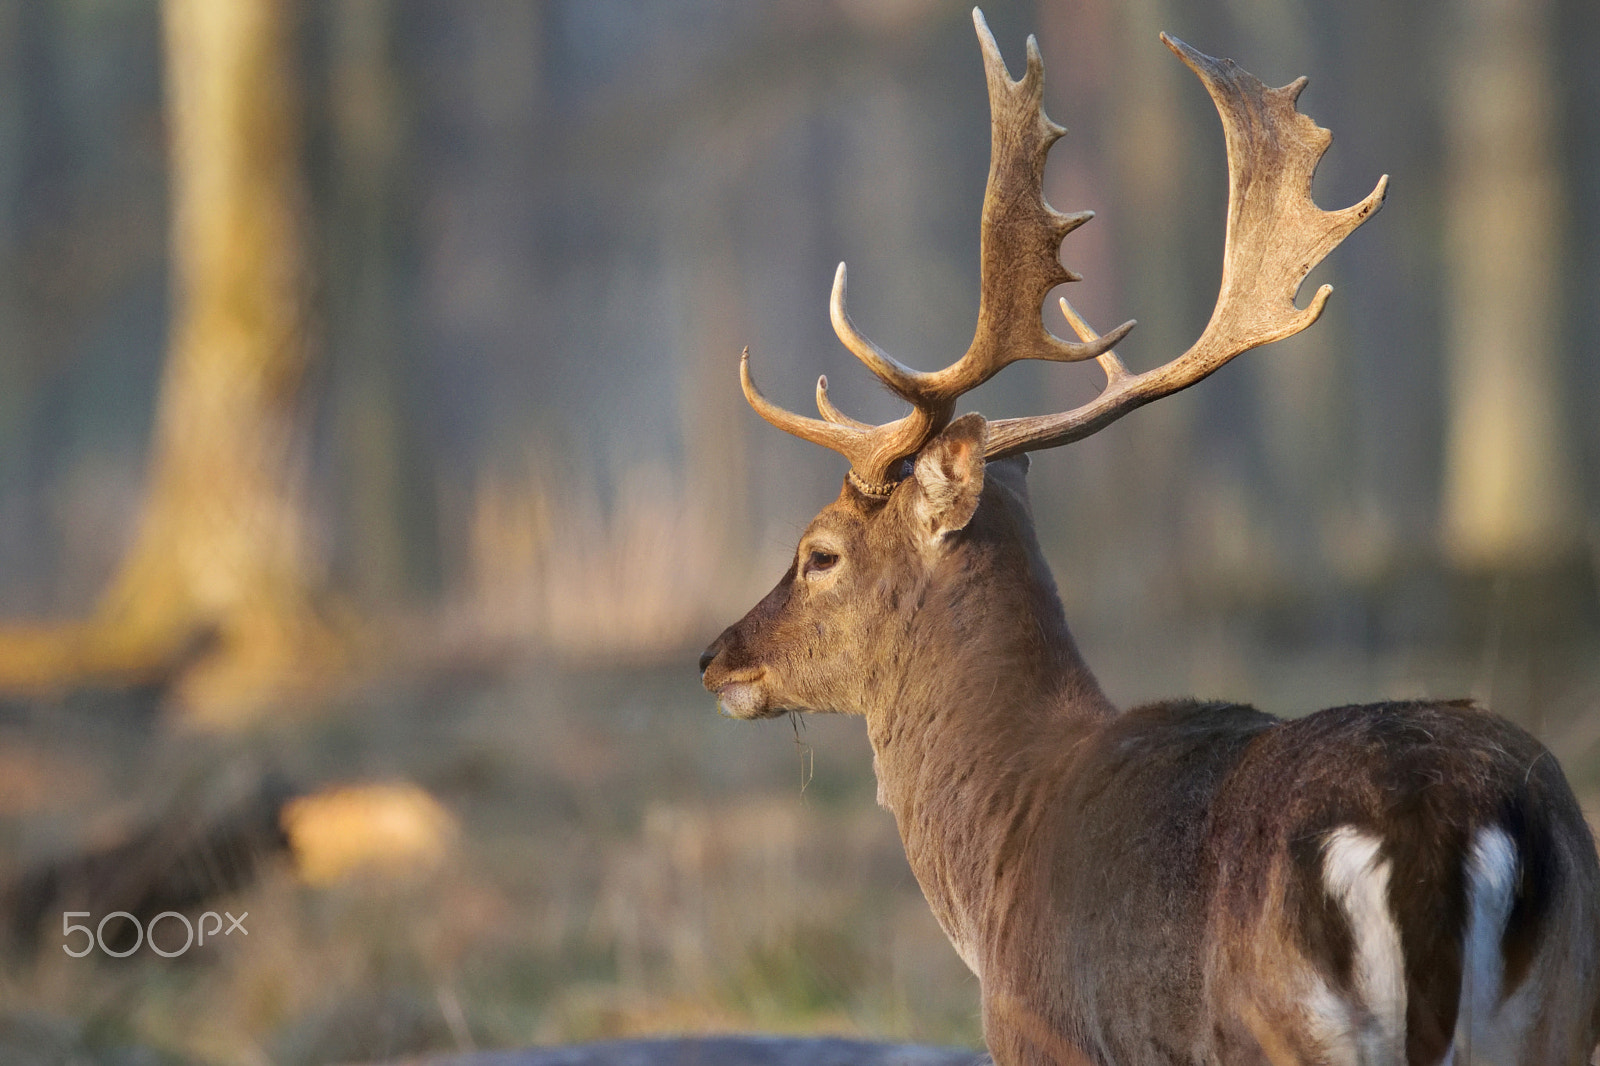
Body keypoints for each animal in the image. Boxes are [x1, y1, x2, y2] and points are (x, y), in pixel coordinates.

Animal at [697, 8, 1600, 1062]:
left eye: (820, 552)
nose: (717, 657)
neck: (996, 863)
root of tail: (1431, 826)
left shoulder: (1037, 1031)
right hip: (1557, 1005)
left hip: (1288, 1028)